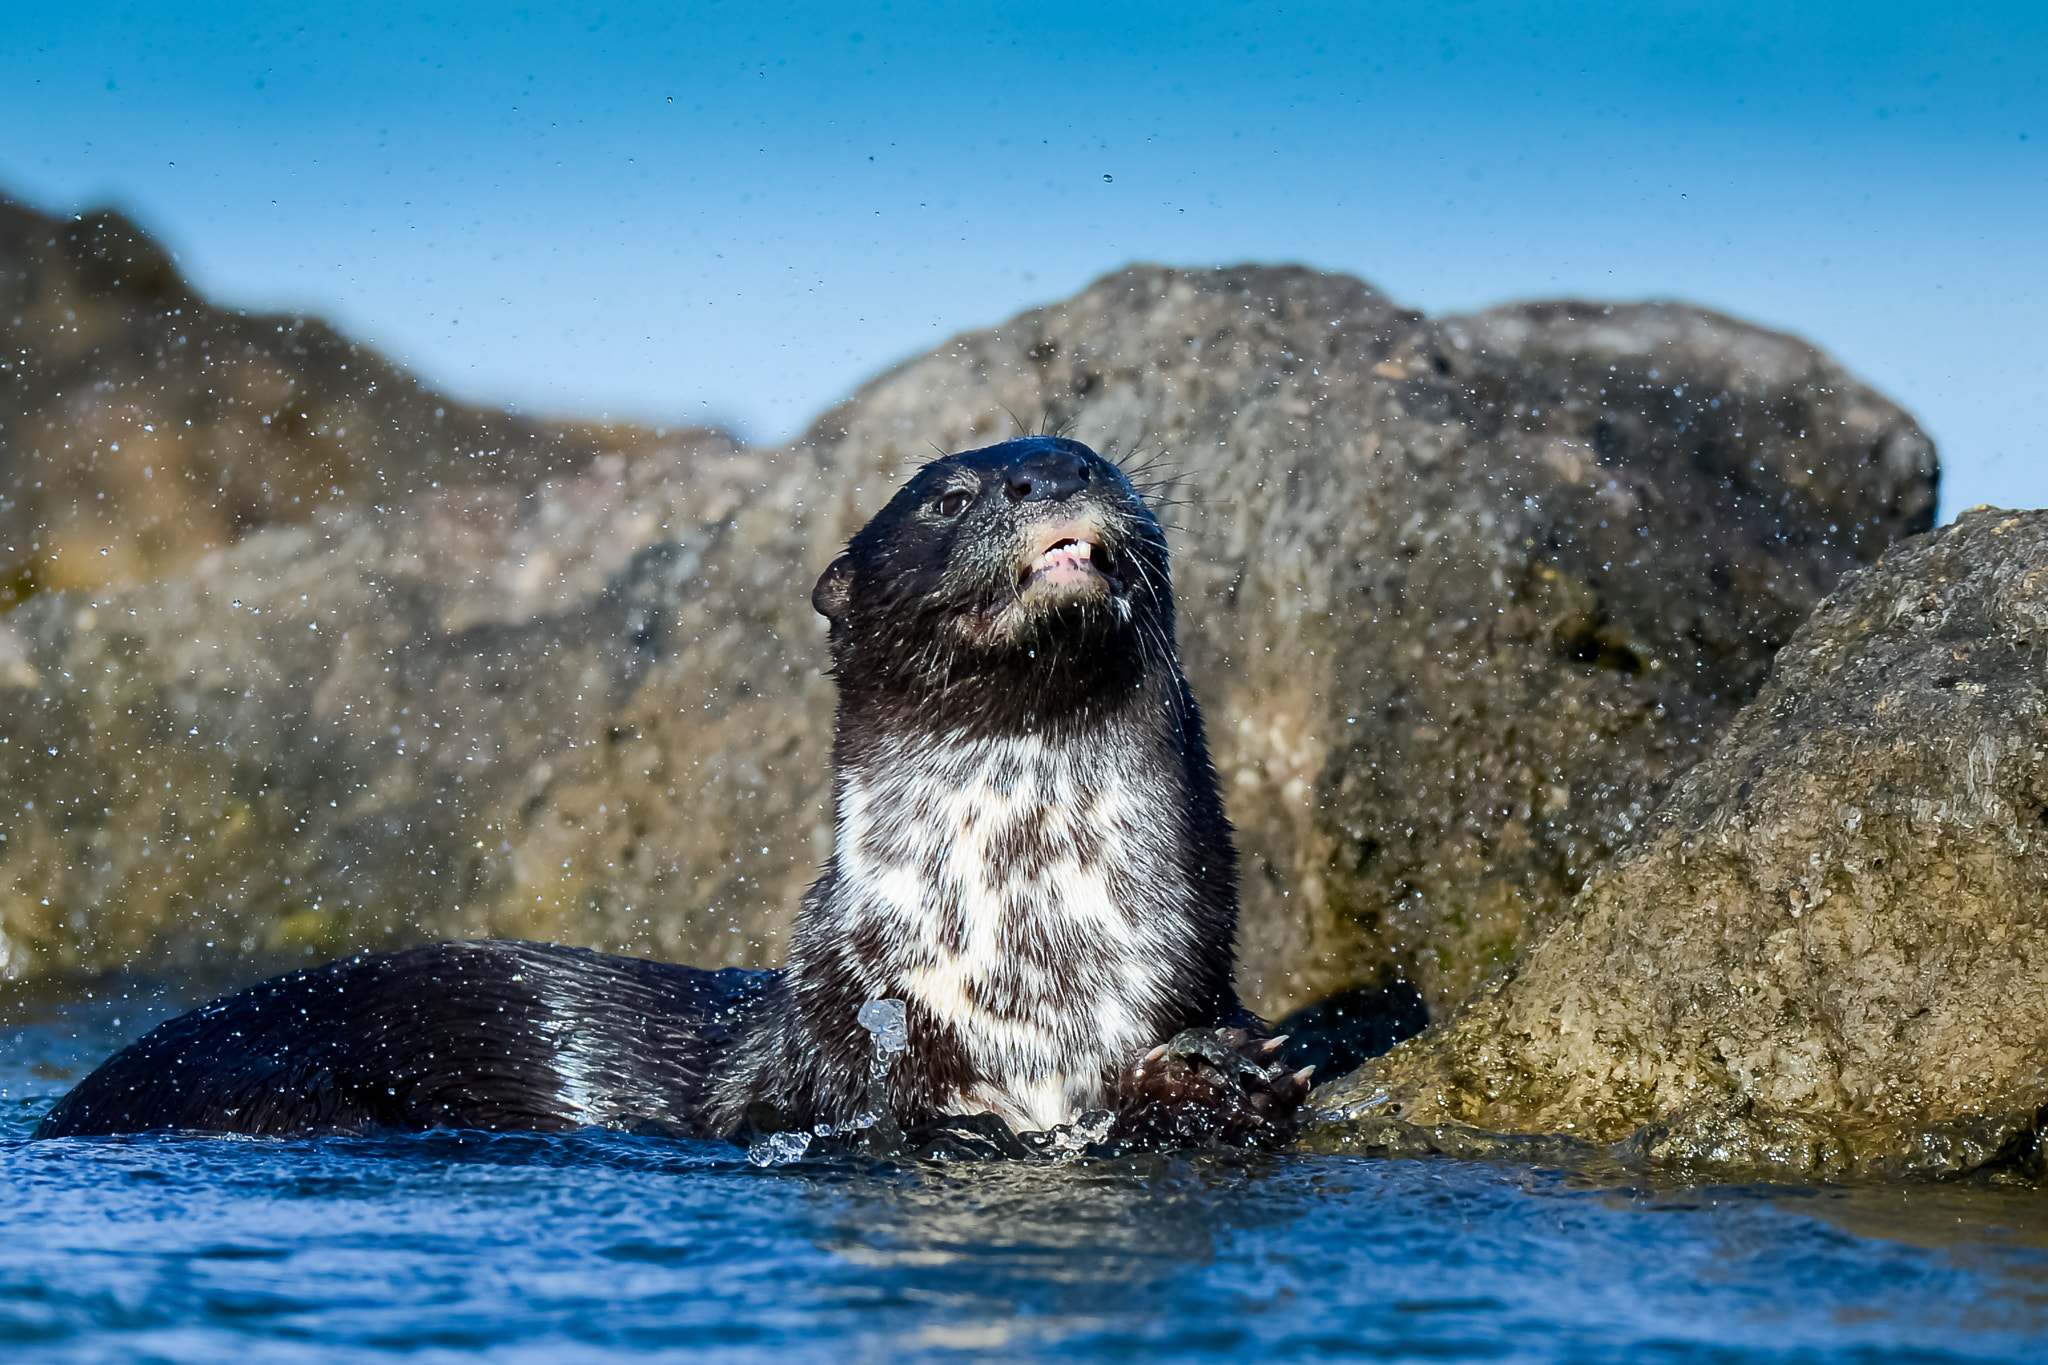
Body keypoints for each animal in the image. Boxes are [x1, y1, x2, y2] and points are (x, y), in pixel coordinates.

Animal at [36, 437, 1310, 1148]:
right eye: (949, 498)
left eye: (1101, 461)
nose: (1053, 475)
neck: (1024, 954)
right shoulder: (833, 1058)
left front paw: (1226, 1078)